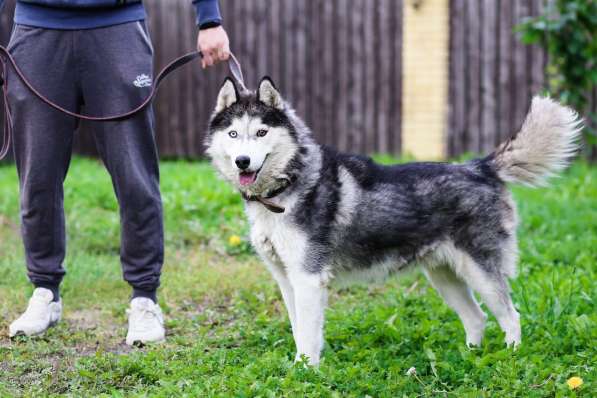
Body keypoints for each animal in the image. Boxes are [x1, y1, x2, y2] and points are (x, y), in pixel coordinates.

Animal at [204, 76, 576, 366]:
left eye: (262, 132)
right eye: (234, 134)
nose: (242, 162)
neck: (285, 189)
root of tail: (479, 166)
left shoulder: (309, 278)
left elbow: (308, 335)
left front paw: (305, 371)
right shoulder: (287, 279)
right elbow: (299, 330)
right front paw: (301, 365)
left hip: (481, 270)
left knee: (511, 317)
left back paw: (509, 357)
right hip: (444, 275)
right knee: (477, 318)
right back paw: (469, 358)